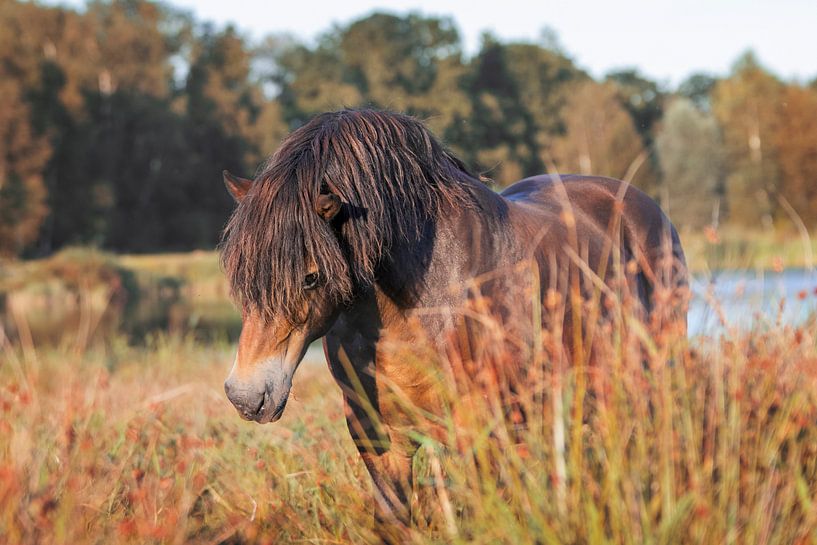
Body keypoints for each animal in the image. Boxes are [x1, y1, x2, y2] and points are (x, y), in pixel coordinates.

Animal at [218, 107, 688, 540]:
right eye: (240, 274)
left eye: (311, 276)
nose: (246, 396)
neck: (421, 306)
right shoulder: (377, 438)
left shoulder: (482, 436)